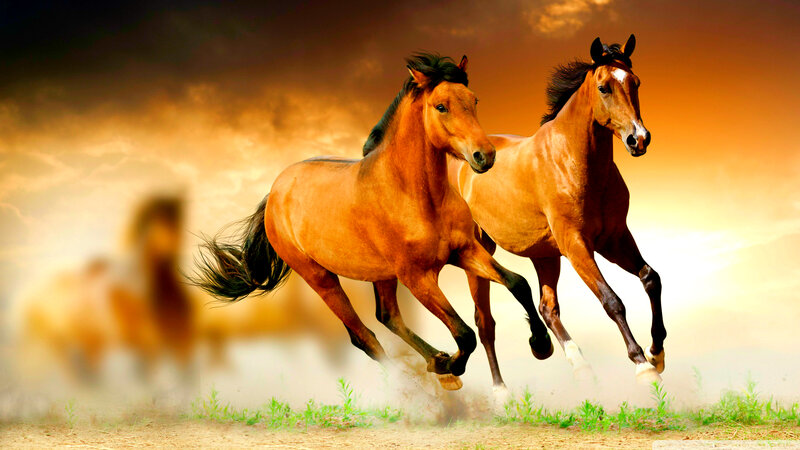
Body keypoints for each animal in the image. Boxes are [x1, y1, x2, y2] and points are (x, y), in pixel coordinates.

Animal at [192, 53, 553, 391]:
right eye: (441, 106)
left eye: (474, 100)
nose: (485, 156)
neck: (416, 195)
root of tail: (275, 193)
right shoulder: (417, 277)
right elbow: (464, 334)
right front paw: (452, 366)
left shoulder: (464, 251)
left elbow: (518, 283)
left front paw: (541, 345)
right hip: (321, 278)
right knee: (363, 336)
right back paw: (422, 381)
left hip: (382, 275)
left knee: (387, 316)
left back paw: (434, 361)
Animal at [448, 35, 665, 388]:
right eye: (604, 87)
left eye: (635, 82)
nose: (639, 139)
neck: (573, 161)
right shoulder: (576, 244)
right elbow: (612, 301)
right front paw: (642, 365)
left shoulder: (614, 238)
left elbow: (650, 279)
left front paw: (656, 353)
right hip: (479, 252)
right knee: (485, 322)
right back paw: (501, 390)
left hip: (545, 255)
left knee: (547, 308)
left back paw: (577, 364)